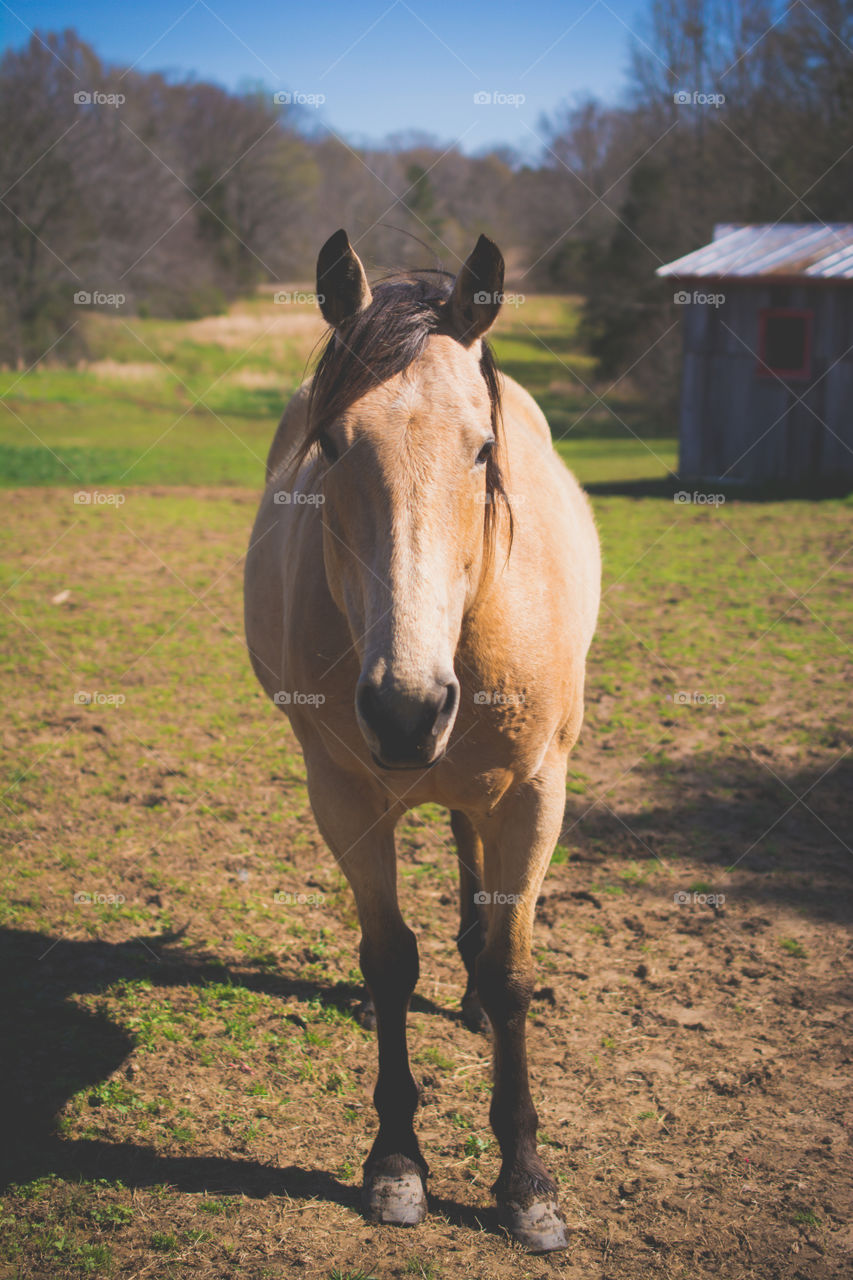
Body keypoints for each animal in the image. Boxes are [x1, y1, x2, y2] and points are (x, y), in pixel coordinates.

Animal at [242, 230, 594, 1249]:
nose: (405, 709)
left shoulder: (537, 790)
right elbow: (390, 956)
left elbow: (514, 969)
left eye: (482, 449)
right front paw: (396, 1162)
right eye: (329, 445)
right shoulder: (343, 791)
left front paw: (526, 1183)